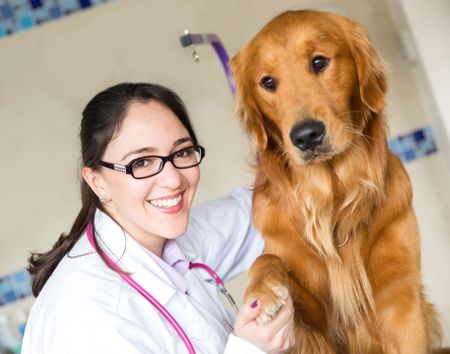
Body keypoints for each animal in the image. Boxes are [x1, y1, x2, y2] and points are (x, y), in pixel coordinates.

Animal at [230, 9, 448, 352]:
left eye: (319, 62)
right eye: (267, 82)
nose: (306, 136)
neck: (333, 196)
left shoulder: (400, 298)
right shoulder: (315, 323)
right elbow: (267, 258)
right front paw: (262, 294)